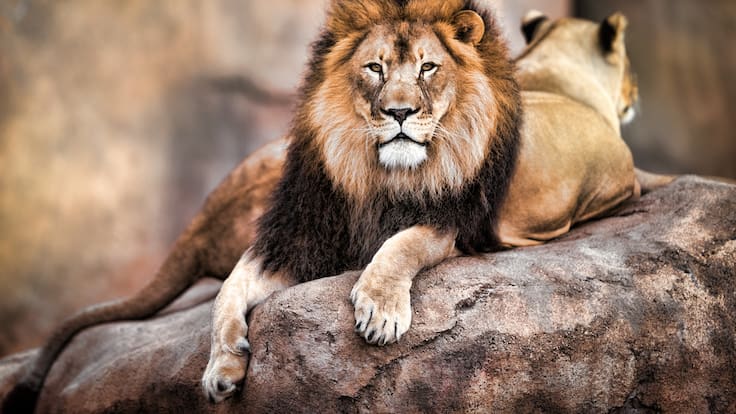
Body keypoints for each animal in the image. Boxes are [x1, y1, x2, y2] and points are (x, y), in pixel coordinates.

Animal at [3, 2, 659, 410]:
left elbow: (399, 244)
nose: (398, 113)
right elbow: (228, 292)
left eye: (429, 68)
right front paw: (222, 366)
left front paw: (378, 308)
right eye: (374, 69)